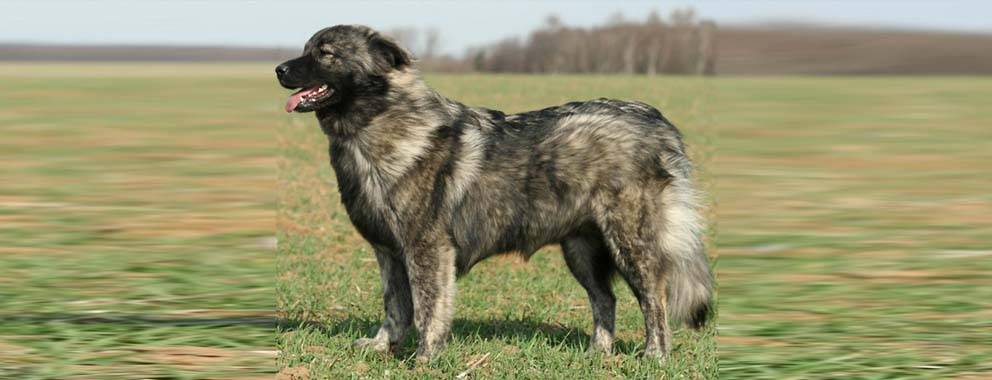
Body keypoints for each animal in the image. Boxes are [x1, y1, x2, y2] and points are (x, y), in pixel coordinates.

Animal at [278, 24, 712, 362]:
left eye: (326, 53)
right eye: (306, 48)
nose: (279, 69)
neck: (378, 122)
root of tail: (657, 120)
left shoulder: (426, 248)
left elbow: (428, 309)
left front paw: (424, 358)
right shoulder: (389, 251)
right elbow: (395, 306)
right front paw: (384, 346)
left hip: (629, 242)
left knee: (654, 297)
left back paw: (654, 355)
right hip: (581, 250)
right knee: (605, 299)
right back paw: (597, 352)